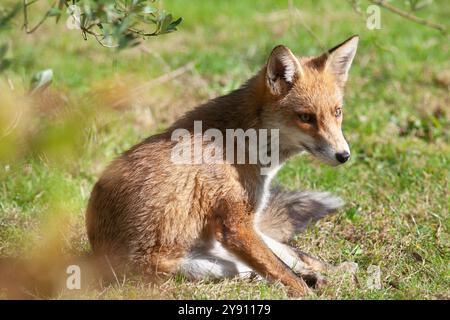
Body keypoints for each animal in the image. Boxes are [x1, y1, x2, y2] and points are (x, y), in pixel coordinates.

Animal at [85, 35, 358, 298]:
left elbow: (289, 261)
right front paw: (306, 292)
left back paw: (333, 272)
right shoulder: (236, 226)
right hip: (204, 265)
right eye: (306, 117)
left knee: (292, 256)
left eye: (337, 112)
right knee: (259, 270)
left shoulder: (243, 224)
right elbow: (282, 272)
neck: (243, 143)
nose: (344, 155)